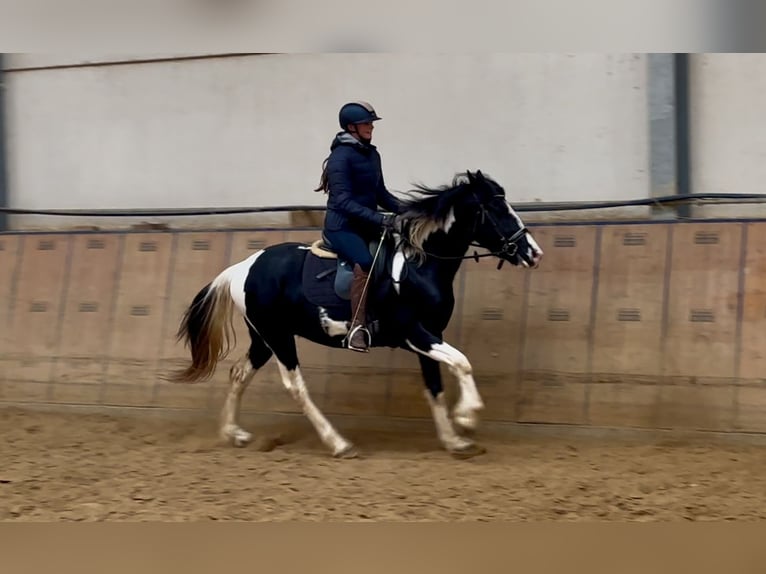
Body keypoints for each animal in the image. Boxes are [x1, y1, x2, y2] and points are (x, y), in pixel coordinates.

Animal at [170, 170, 544, 460]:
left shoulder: (430, 336)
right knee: (296, 386)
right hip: (278, 337)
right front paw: (467, 417)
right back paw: (338, 443)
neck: (420, 267)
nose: (534, 253)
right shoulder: (413, 332)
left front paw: (455, 440)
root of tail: (242, 267)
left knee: (238, 374)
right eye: (496, 208)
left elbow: (435, 386)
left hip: (264, 338)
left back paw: (234, 433)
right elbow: (463, 363)